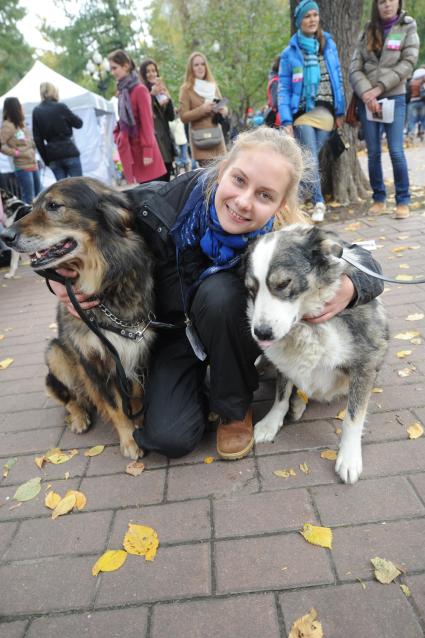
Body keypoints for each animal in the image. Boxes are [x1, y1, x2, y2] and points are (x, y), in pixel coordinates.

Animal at [243, 226, 390, 484]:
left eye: (284, 283)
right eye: (251, 290)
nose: (261, 333)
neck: (307, 323)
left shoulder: (366, 362)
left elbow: (353, 417)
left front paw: (349, 458)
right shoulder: (282, 359)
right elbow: (281, 394)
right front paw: (271, 423)